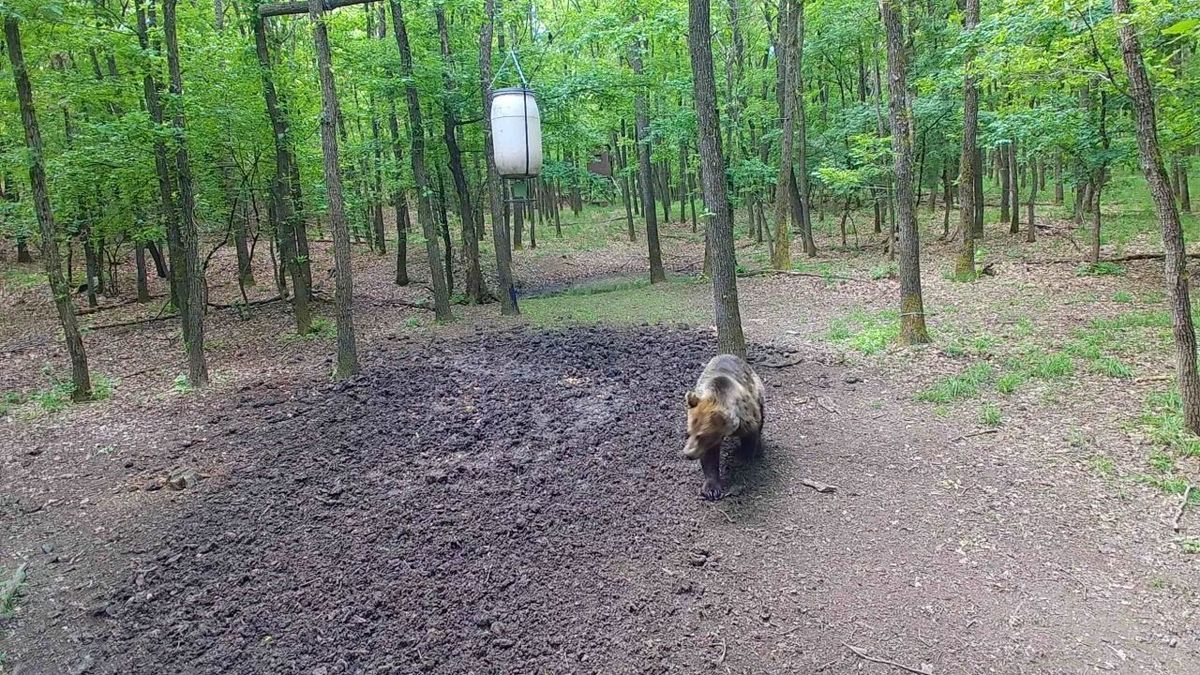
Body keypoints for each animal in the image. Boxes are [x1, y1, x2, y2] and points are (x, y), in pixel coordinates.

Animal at [681, 353, 763, 499]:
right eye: (688, 433)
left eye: (701, 436)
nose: (688, 454)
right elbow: (709, 458)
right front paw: (711, 489)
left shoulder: (747, 418)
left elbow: (751, 436)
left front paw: (743, 458)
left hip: (757, 389)